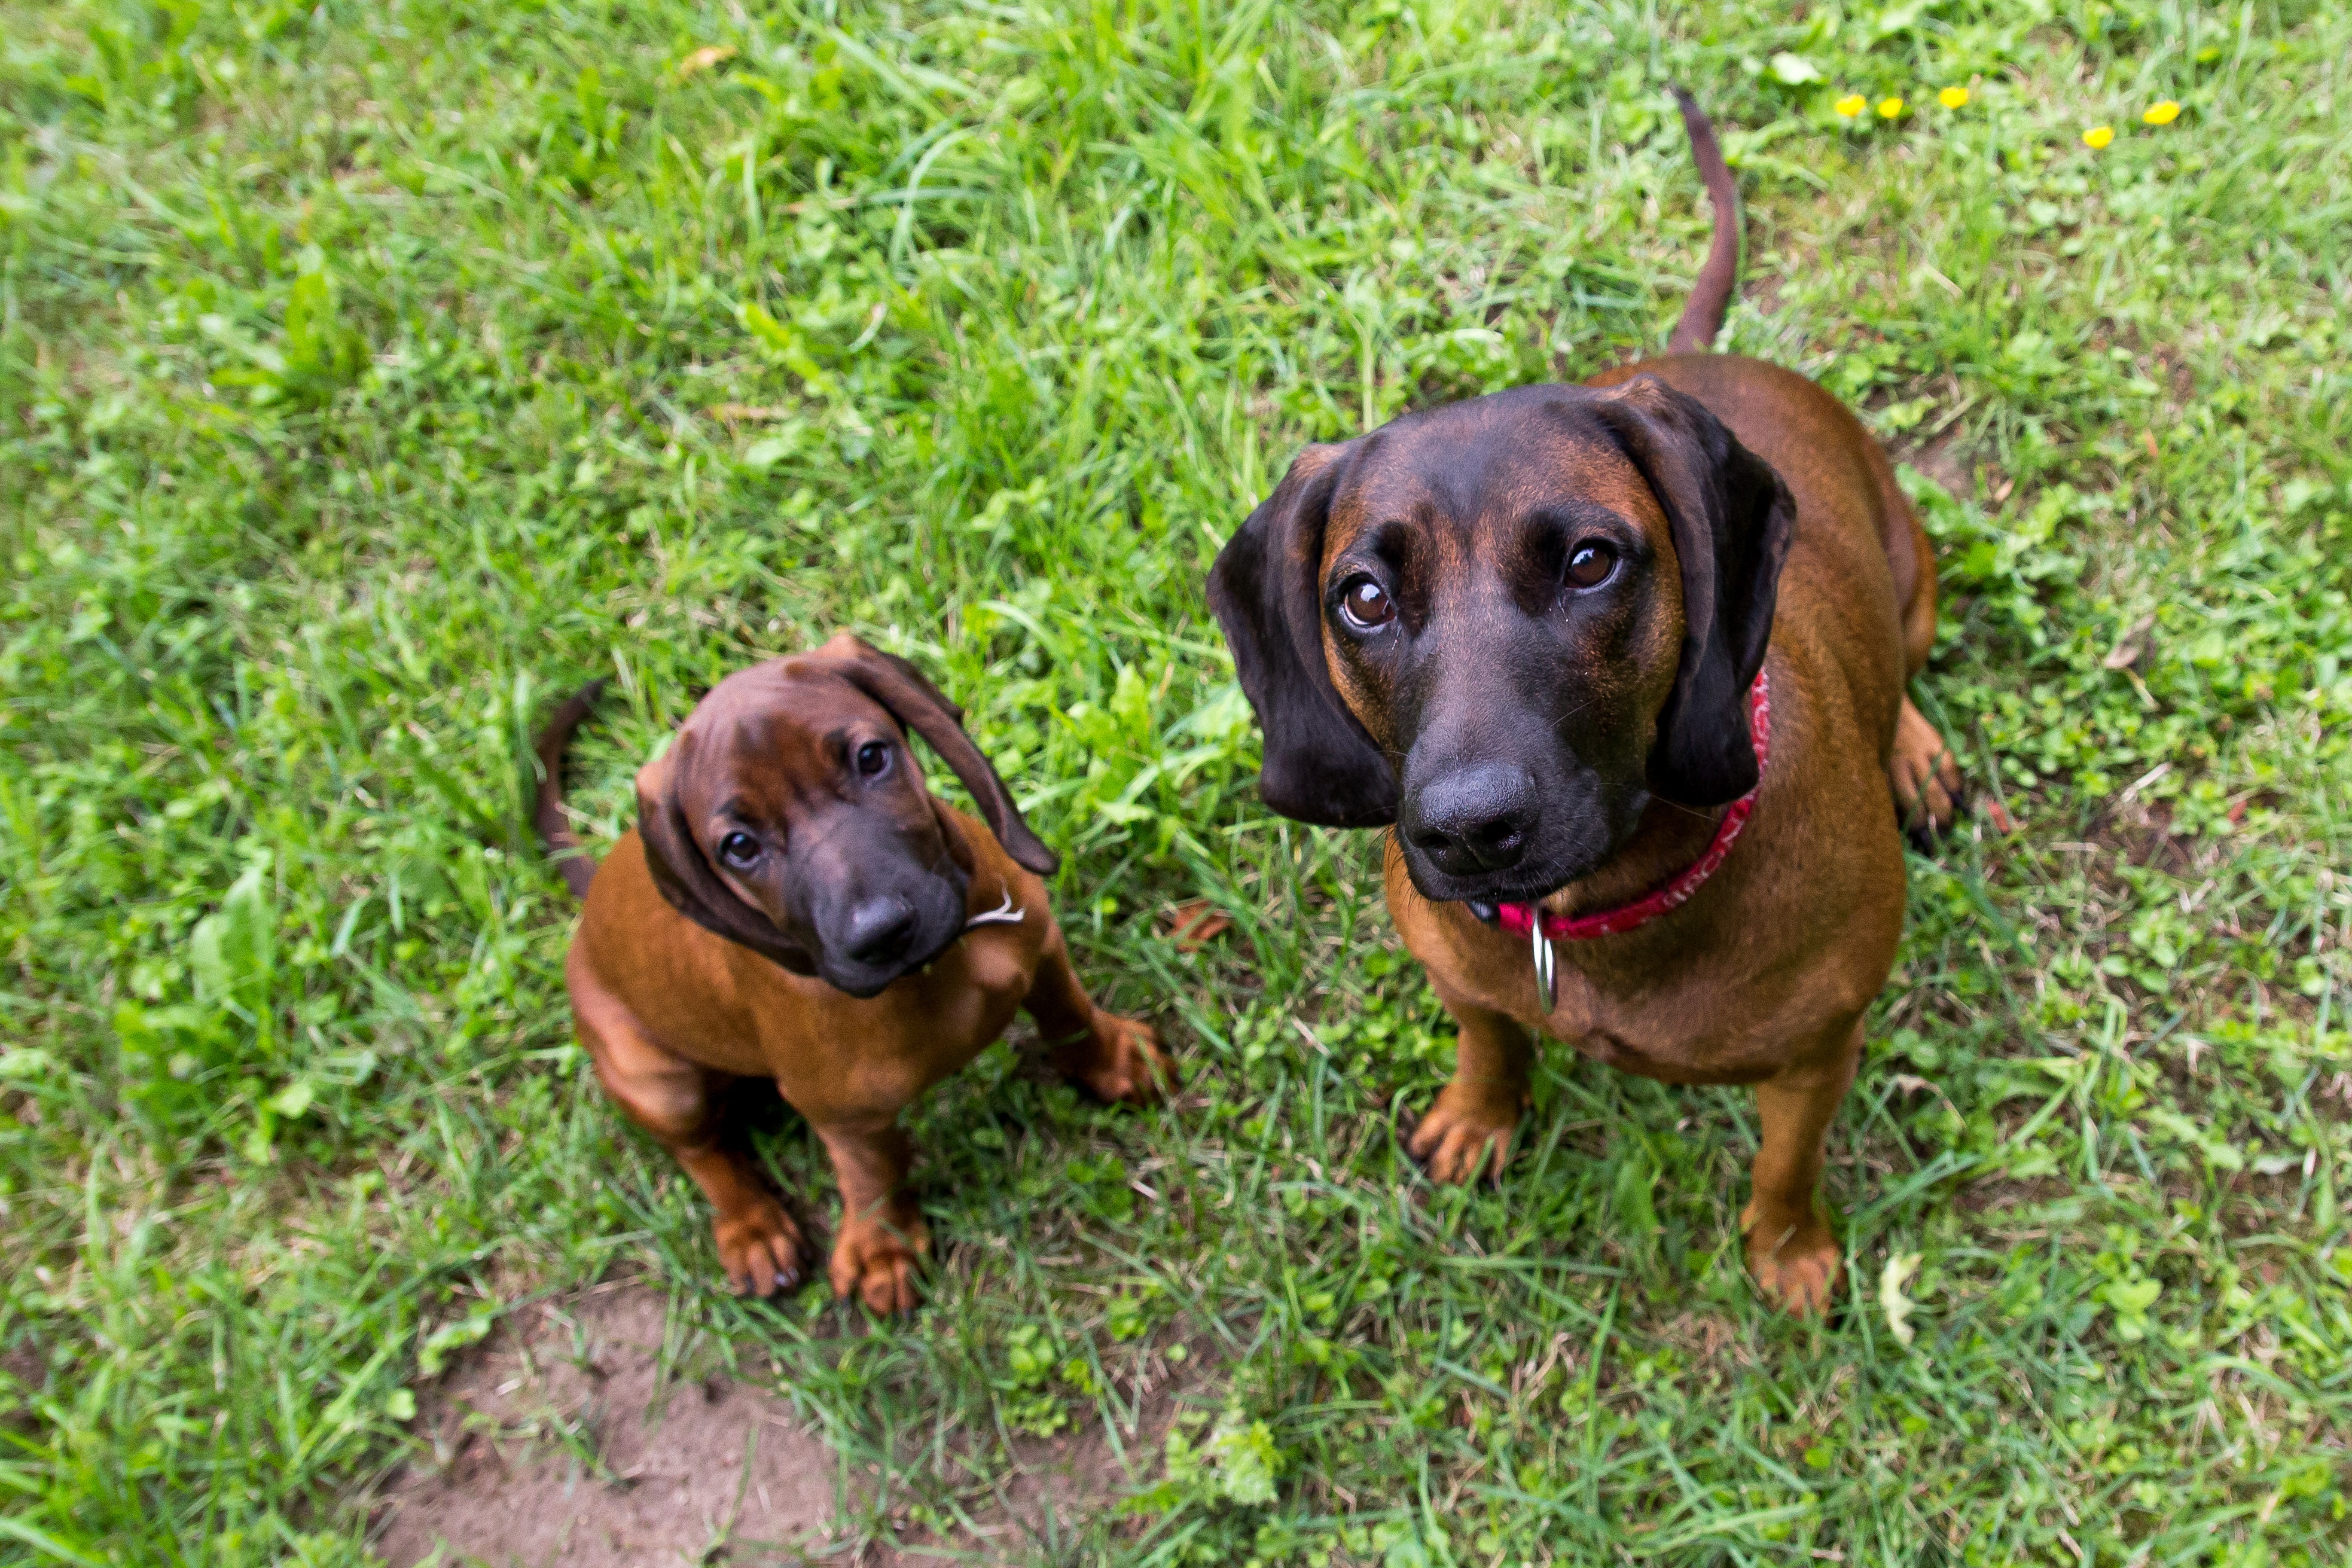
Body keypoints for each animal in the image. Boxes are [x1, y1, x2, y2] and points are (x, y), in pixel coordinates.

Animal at [526, 634, 1166, 1316]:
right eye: (739, 846)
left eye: (871, 757)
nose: (881, 932)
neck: (934, 969)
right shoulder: (840, 1109)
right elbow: (872, 1167)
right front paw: (880, 1245)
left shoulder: (1041, 948)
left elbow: (1069, 1015)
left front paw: (1116, 1061)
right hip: (655, 1081)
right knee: (702, 1151)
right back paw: (752, 1228)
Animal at [1213, 89, 1966, 1316]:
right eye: (1362, 596)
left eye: (1587, 562)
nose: (1467, 832)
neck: (1603, 916)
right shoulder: (1464, 983)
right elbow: (1489, 1040)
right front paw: (1478, 1114)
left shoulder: (1818, 1055)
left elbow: (1786, 1163)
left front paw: (1788, 1250)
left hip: (1915, 576)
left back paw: (1912, 750)